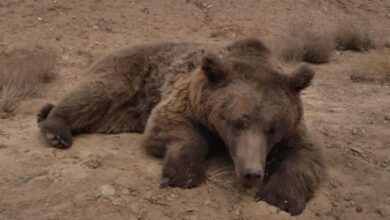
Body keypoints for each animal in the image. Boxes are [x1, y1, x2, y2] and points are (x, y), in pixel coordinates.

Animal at [36, 37, 324, 215]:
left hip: (124, 113)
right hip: (128, 73)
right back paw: (56, 129)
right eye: (238, 122)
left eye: (272, 128)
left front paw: (281, 197)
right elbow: (171, 126)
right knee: (95, 93)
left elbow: (306, 154)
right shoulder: (187, 99)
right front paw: (182, 173)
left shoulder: (294, 128)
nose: (252, 172)